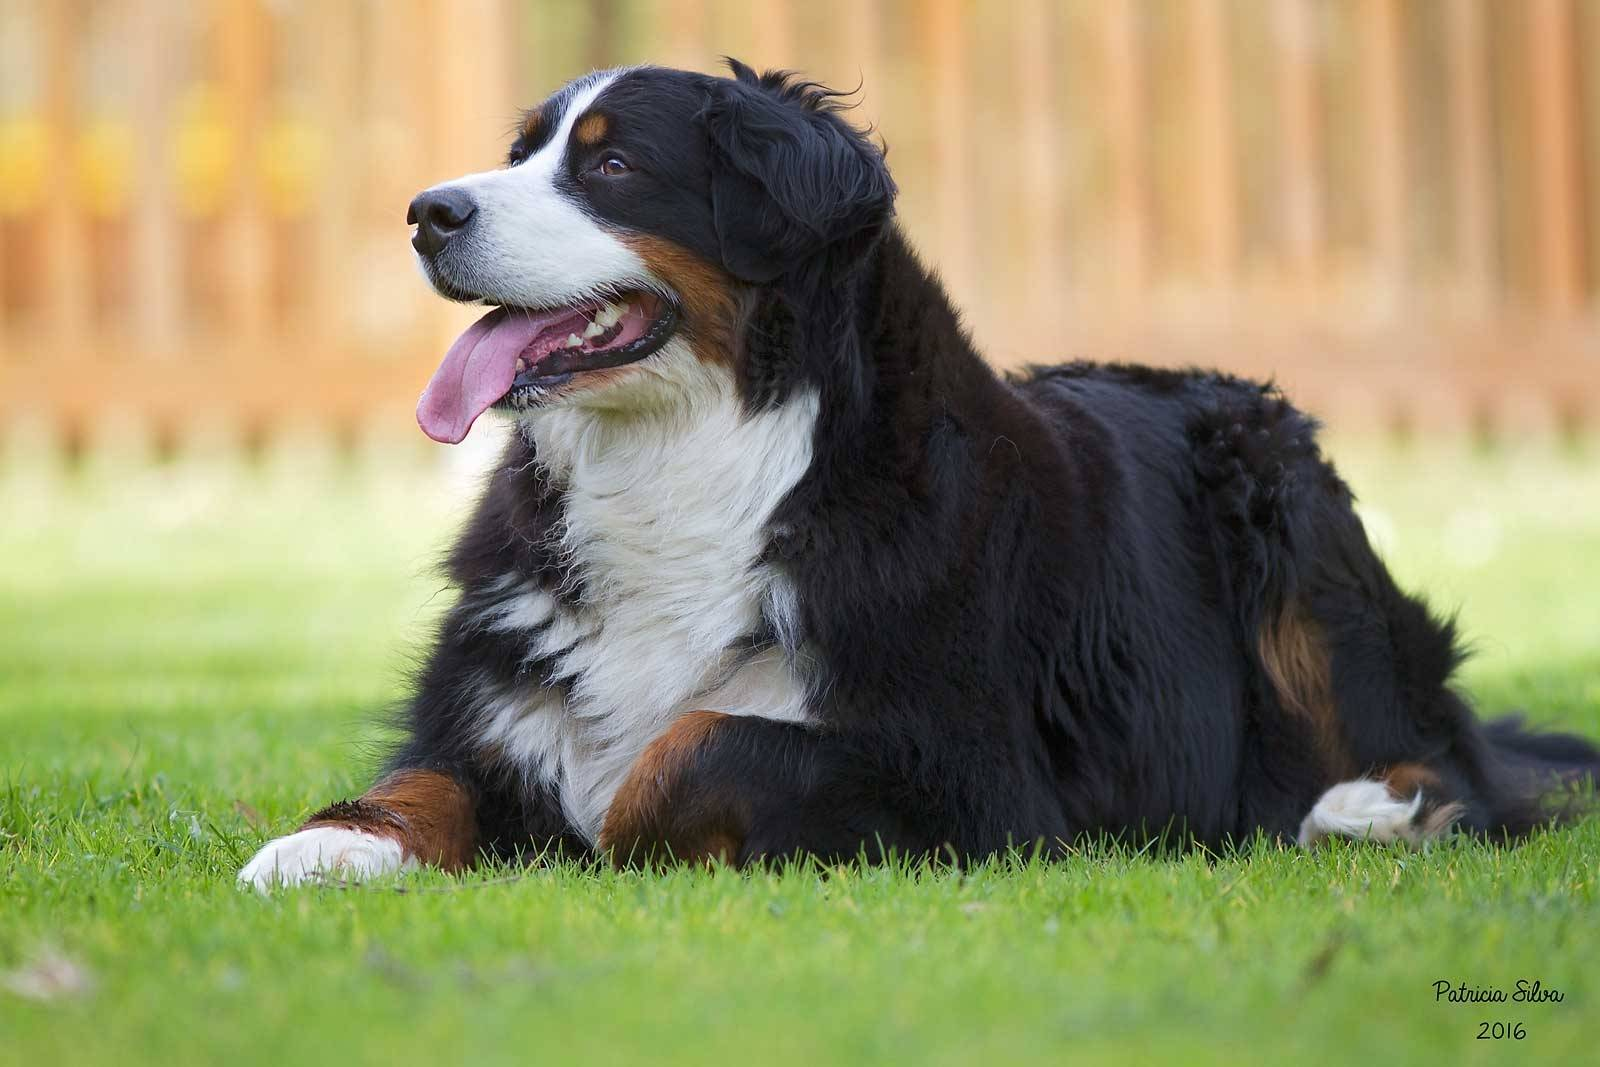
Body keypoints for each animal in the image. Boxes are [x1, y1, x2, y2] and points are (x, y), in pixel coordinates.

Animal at [236, 62, 1600, 889]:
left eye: (612, 166)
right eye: (519, 152)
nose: (428, 212)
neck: (691, 462)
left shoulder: (972, 784)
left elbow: (688, 749)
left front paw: (593, 833)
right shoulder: (491, 698)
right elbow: (423, 773)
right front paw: (321, 845)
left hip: (1286, 514)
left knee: (1452, 766)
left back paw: (1359, 808)